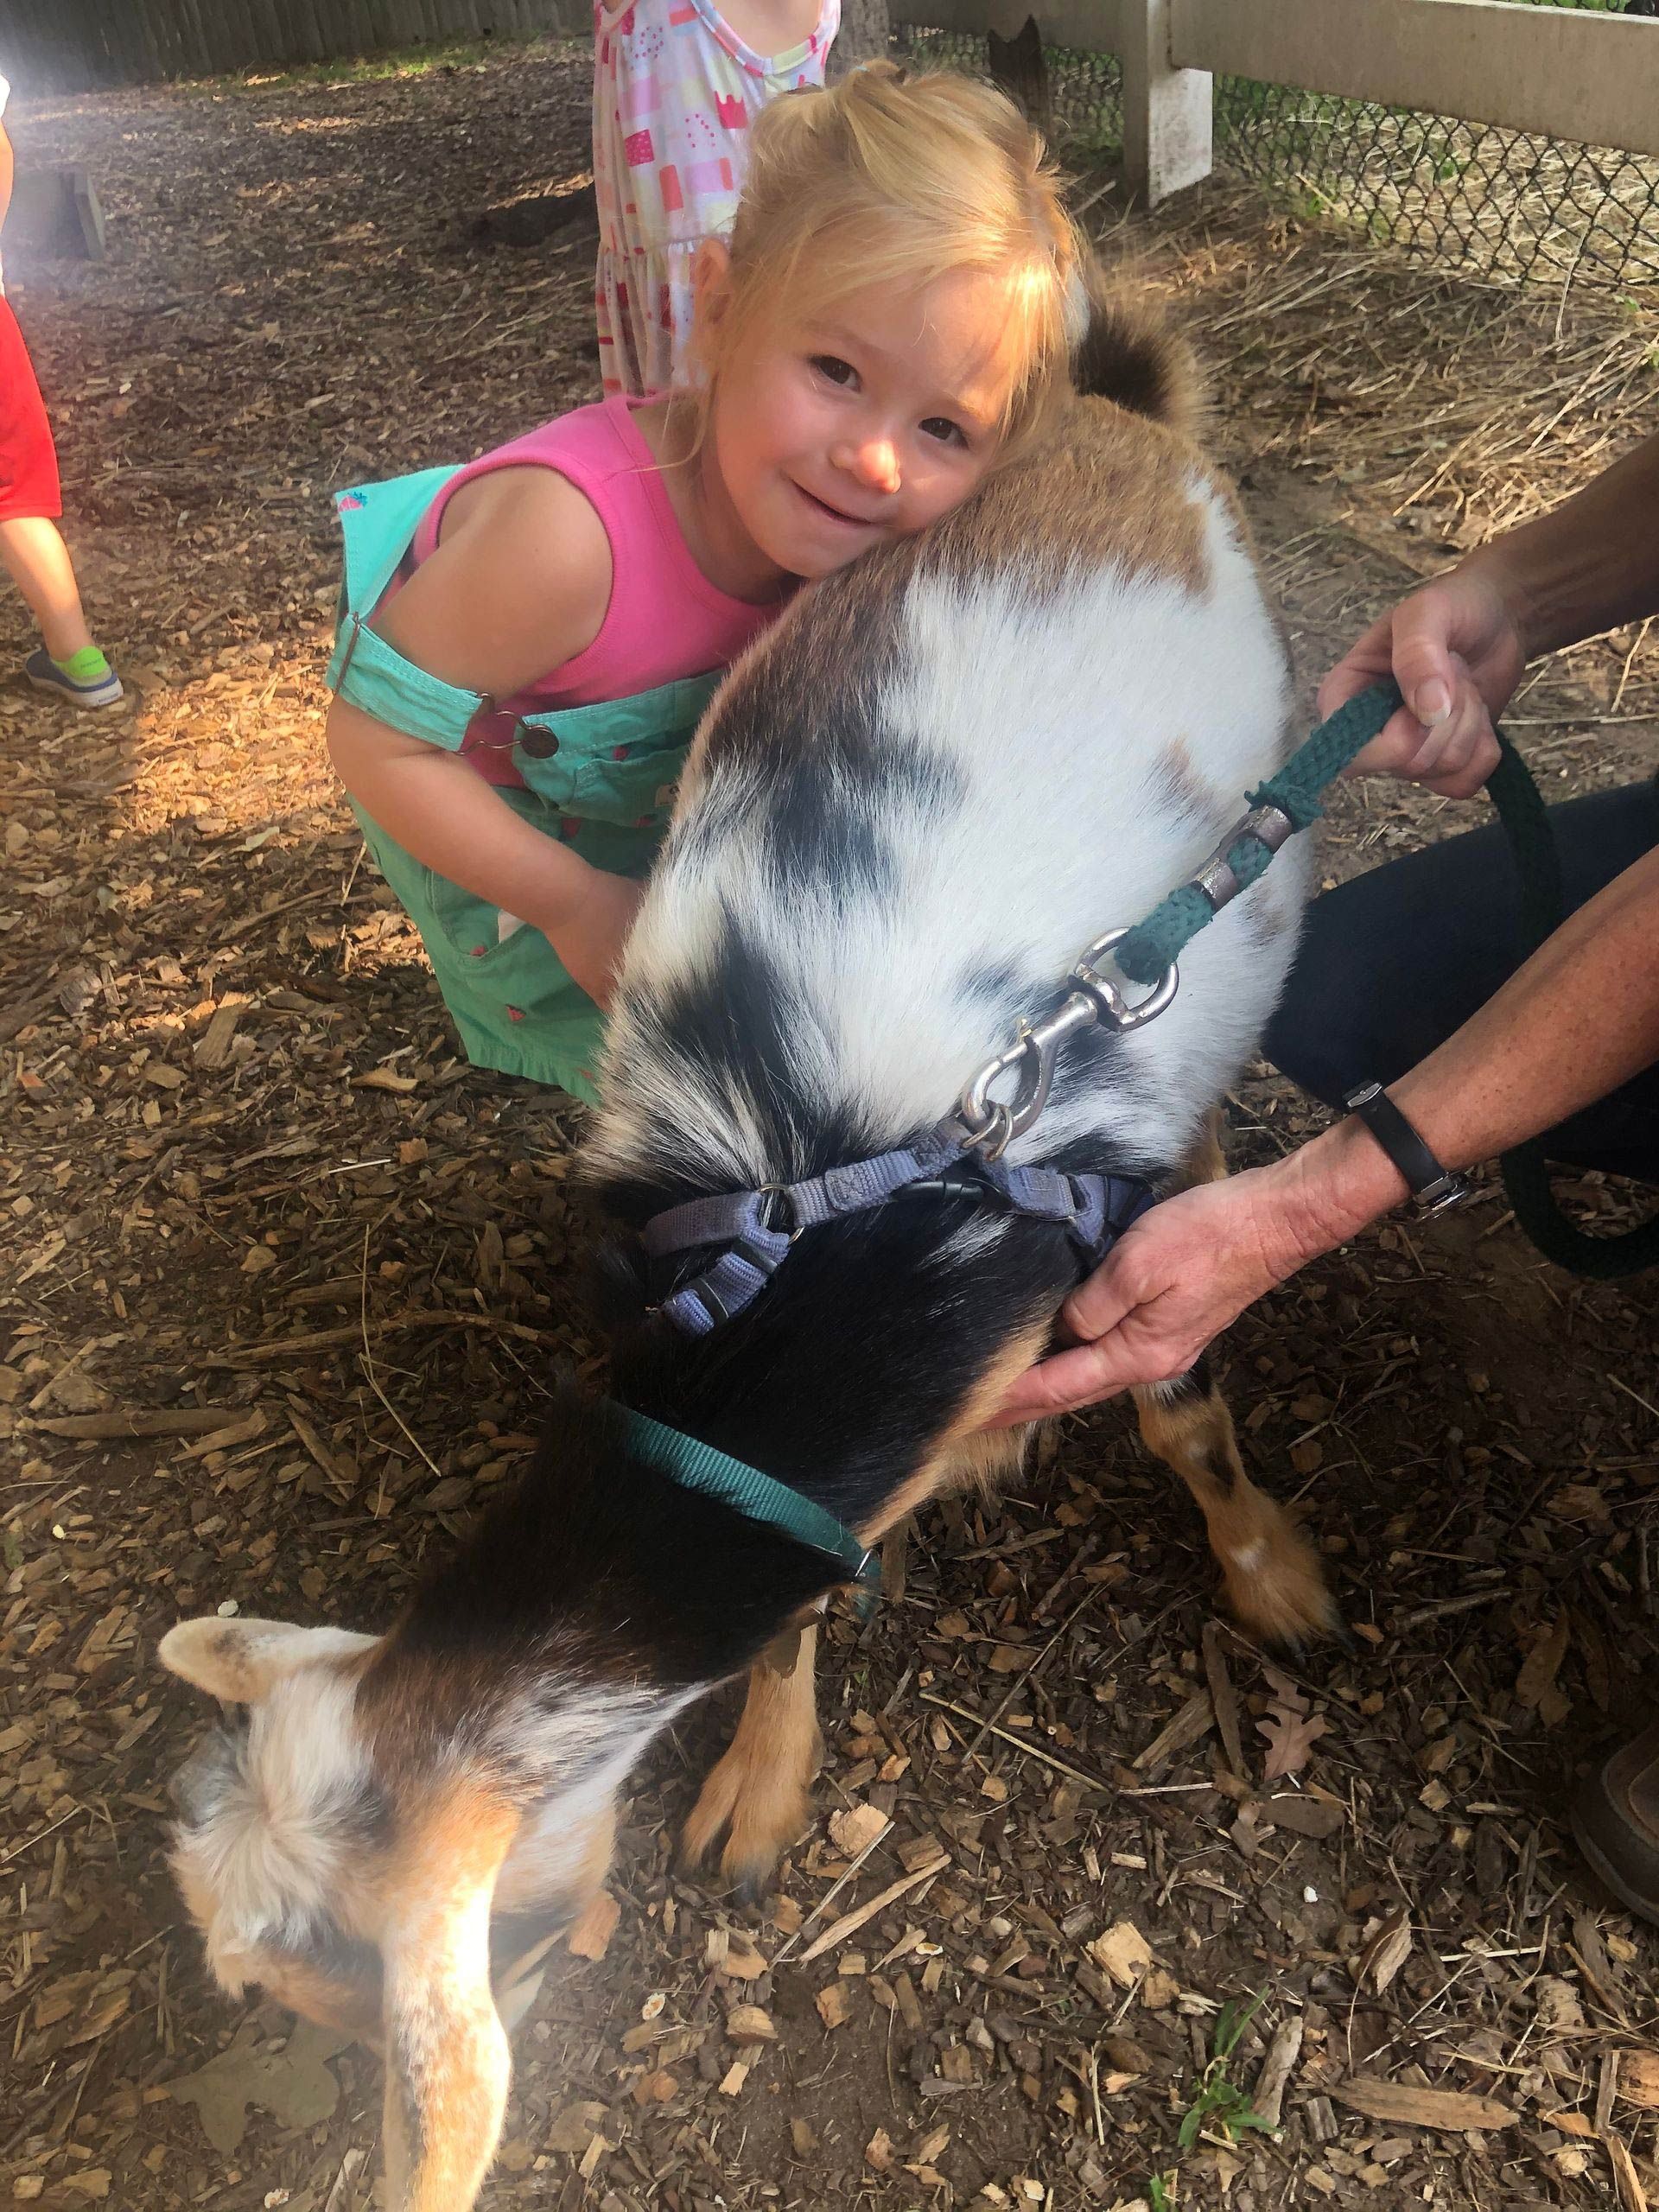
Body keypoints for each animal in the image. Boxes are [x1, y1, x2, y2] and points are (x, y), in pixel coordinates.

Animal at [159, 298, 1336, 2212]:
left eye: (306, 1991)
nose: (300, 2082)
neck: (822, 1270)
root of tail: (1106, 406)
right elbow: (797, 1617)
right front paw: (759, 1798)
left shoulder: (1135, 1193)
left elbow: (1184, 1406)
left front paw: (1274, 1578)